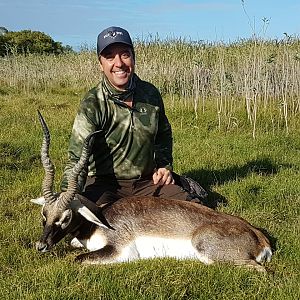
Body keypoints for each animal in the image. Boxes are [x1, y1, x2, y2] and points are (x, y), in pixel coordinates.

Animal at [32, 111, 272, 270]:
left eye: (65, 217)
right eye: (44, 214)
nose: (41, 246)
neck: (97, 221)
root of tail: (260, 237)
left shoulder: (120, 251)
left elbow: (78, 259)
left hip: (210, 253)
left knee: (258, 269)